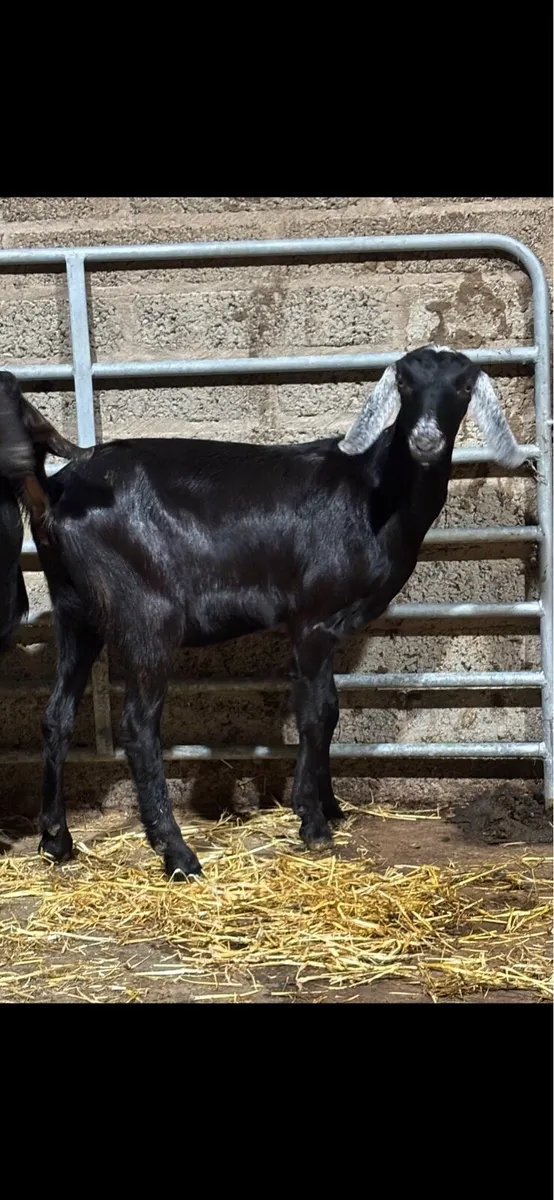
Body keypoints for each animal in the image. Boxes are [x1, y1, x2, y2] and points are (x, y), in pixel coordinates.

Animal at [0, 347, 526, 879]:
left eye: (463, 386)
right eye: (404, 384)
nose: (425, 439)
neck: (374, 492)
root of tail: (56, 494)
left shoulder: (323, 628)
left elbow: (330, 708)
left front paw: (331, 806)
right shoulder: (313, 619)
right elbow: (315, 715)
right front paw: (312, 822)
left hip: (75, 611)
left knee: (57, 716)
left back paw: (57, 840)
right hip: (147, 612)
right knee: (138, 726)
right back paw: (178, 853)